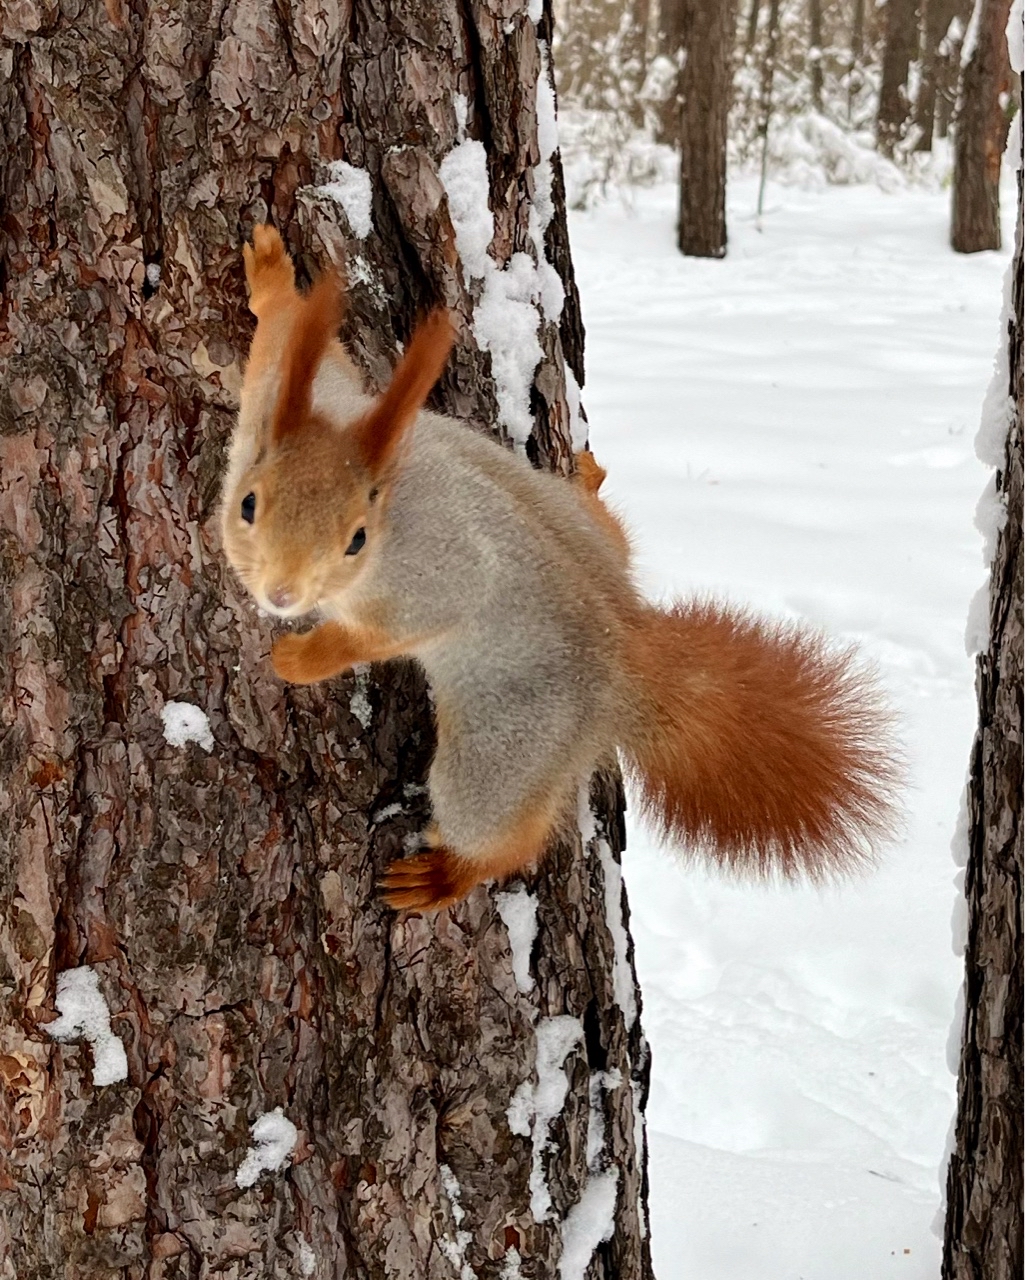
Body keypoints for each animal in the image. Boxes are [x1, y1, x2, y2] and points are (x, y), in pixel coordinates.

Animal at [220, 225, 900, 913]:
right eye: (248, 503)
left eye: (356, 541)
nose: (280, 595)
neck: (384, 488)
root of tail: (625, 655)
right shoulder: (284, 400)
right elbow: (288, 338)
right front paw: (272, 278)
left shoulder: (434, 575)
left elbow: (389, 631)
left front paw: (302, 658)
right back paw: (591, 479)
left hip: (505, 748)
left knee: (503, 834)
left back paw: (445, 875)